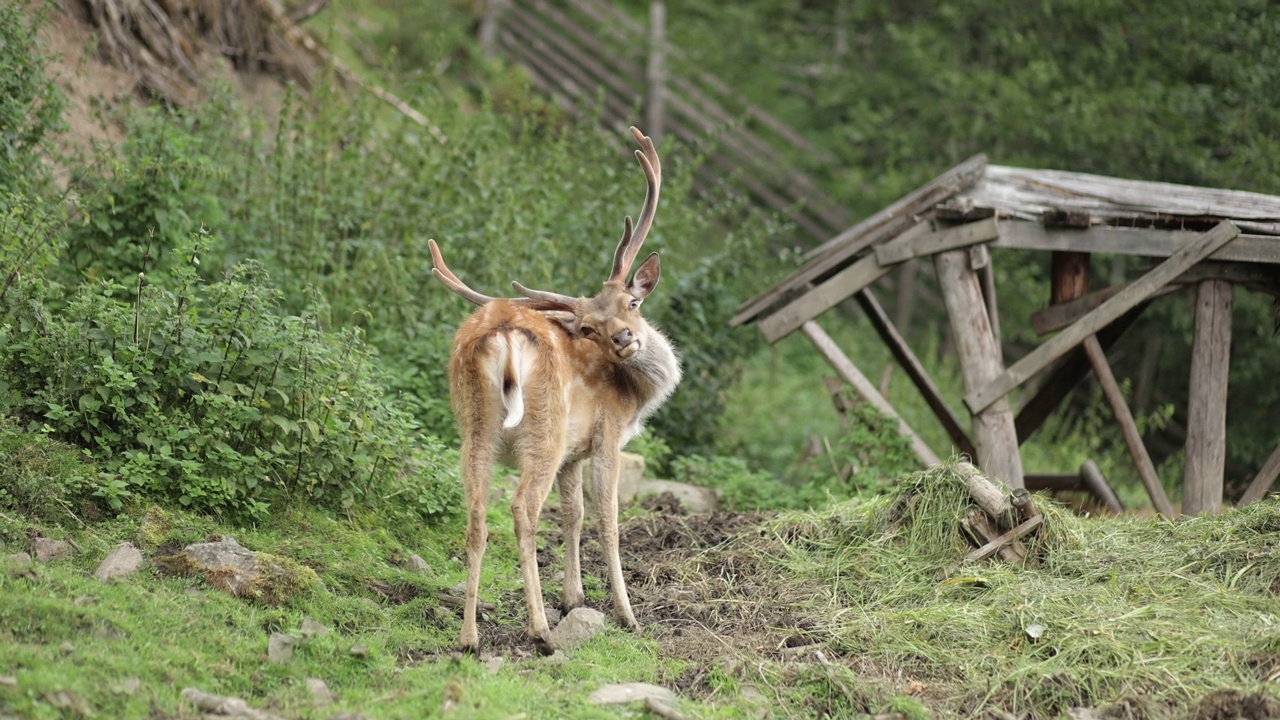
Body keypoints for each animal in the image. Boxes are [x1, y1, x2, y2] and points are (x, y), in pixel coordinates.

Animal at [427, 126, 680, 653]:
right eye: (588, 328)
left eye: (631, 302)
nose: (624, 339)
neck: (636, 397)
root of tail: (501, 332)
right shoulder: (605, 436)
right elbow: (606, 518)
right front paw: (626, 615)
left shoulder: (572, 455)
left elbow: (574, 515)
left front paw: (573, 598)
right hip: (543, 426)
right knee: (522, 507)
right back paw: (539, 630)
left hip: (475, 429)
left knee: (476, 514)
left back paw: (469, 637)